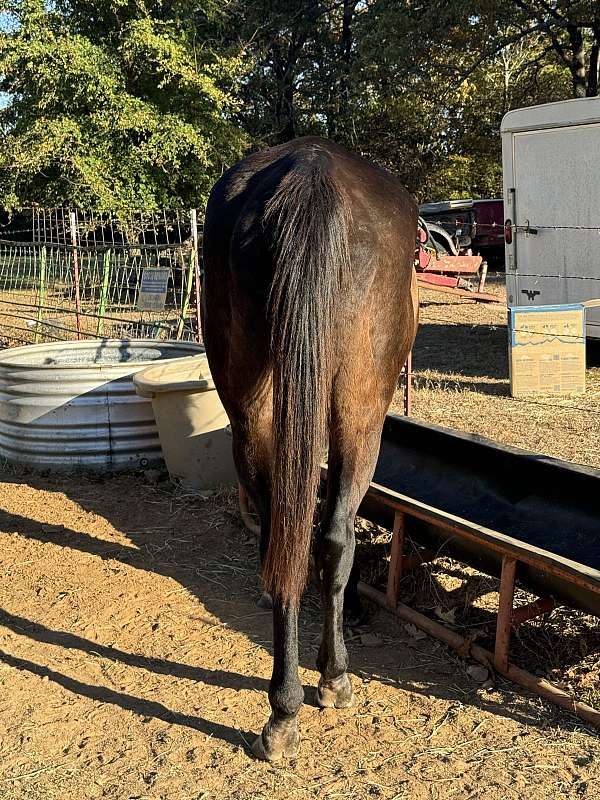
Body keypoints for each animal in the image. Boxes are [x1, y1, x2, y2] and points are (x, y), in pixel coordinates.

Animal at [202, 138, 418, 764]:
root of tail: (311, 174)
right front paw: (333, 674)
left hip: (254, 413)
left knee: (288, 538)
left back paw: (283, 707)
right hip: (361, 416)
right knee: (333, 537)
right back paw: (328, 681)